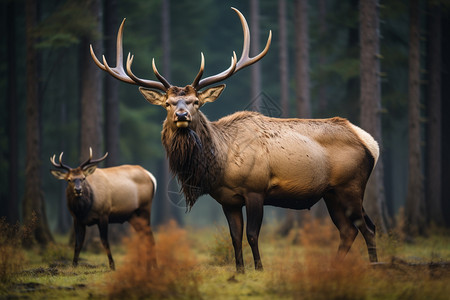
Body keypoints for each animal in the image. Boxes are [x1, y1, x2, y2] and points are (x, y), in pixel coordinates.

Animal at [91, 7, 380, 272]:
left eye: (196, 102)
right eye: (168, 103)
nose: (182, 115)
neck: (221, 162)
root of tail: (370, 142)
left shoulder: (256, 189)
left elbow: (252, 235)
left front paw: (259, 269)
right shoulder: (228, 199)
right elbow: (234, 237)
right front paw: (239, 271)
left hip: (351, 186)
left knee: (366, 228)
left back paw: (374, 265)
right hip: (331, 193)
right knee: (349, 230)